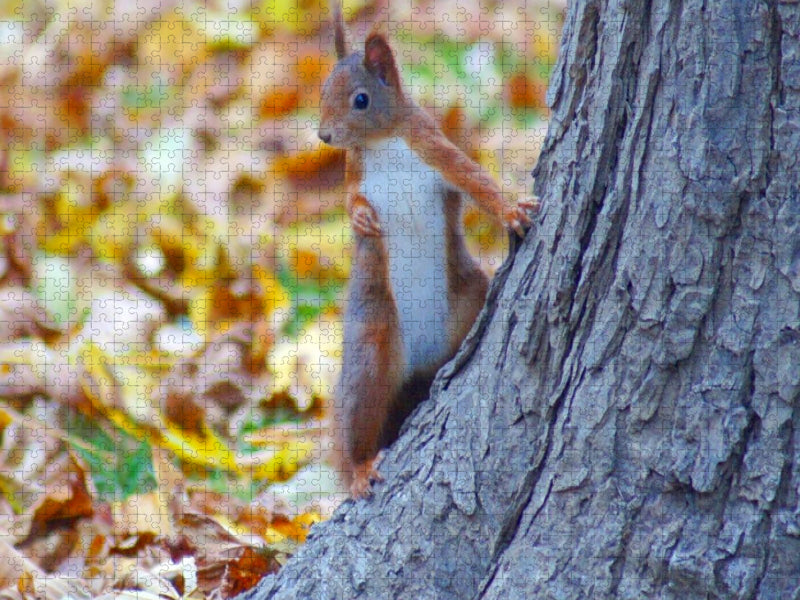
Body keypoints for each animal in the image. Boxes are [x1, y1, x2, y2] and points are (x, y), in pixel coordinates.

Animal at [318, 3, 539, 498]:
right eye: (322, 90)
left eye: (360, 100)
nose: (323, 136)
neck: (384, 143)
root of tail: (416, 364)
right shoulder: (355, 170)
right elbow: (349, 199)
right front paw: (360, 220)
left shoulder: (434, 149)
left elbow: (474, 178)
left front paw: (511, 210)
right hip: (372, 345)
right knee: (362, 414)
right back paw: (360, 468)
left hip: (467, 299)